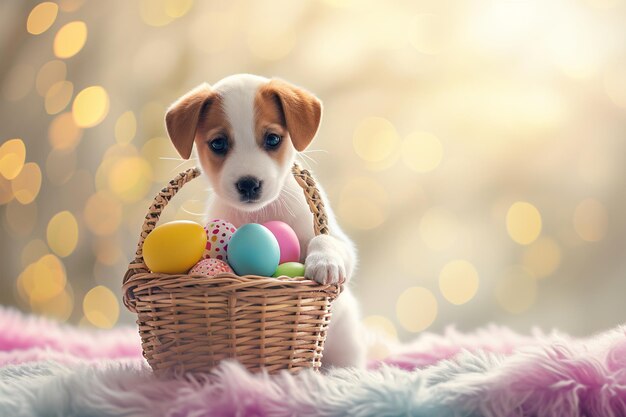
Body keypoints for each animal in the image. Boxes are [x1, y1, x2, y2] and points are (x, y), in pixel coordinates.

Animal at [163, 75, 366, 368]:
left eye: (272, 139)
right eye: (218, 143)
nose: (248, 184)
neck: (259, 215)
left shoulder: (341, 242)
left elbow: (325, 239)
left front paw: (324, 262)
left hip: (345, 338)